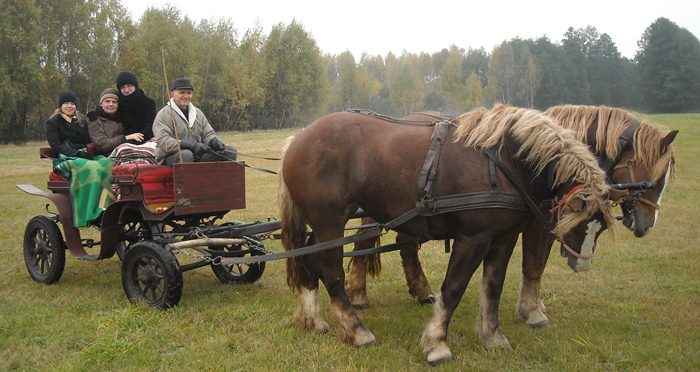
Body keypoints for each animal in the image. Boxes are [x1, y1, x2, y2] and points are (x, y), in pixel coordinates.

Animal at [278, 104, 612, 364]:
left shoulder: (503, 239)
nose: (583, 263)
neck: (504, 160)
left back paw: (313, 318)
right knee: (331, 271)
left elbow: (492, 288)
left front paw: (492, 337)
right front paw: (437, 343)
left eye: (602, 227)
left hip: (325, 225)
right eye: (581, 223)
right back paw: (356, 329)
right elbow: (453, 289)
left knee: (310, 261)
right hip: (330, 221)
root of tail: (297, 140)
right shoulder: (473, 238)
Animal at [348, 104, 676, 328]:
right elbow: (533, 265)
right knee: (364, 242)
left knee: (405, 244)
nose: (646, 226)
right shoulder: (536, 227)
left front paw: (535, 305)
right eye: (652, 180)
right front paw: (532, 312)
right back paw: (358, 294)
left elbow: (537, 265)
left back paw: (421, 291)